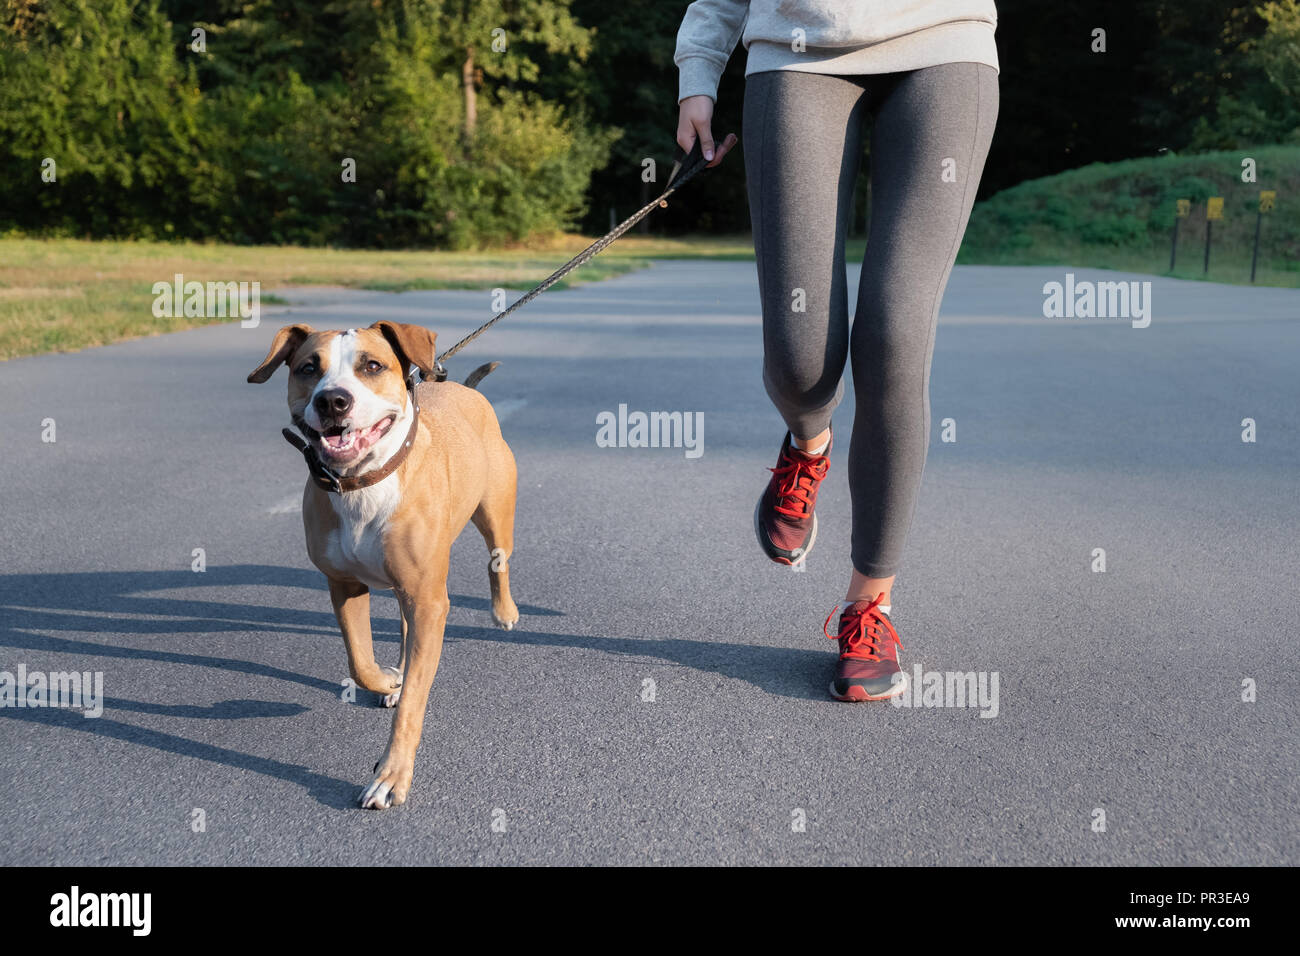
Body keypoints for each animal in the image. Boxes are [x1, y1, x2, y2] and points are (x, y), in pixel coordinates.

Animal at [248, 321, 517, 806]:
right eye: (308, 368)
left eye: (372, 366)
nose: (333, 400)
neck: (362, 483)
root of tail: (465, 391)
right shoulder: (345, 586)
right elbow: (361, 660)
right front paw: (390, 681)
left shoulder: (430, 600)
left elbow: (413, 702)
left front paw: (392, 775)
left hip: (495, 512)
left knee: (498, 559)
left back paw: (504, 612)